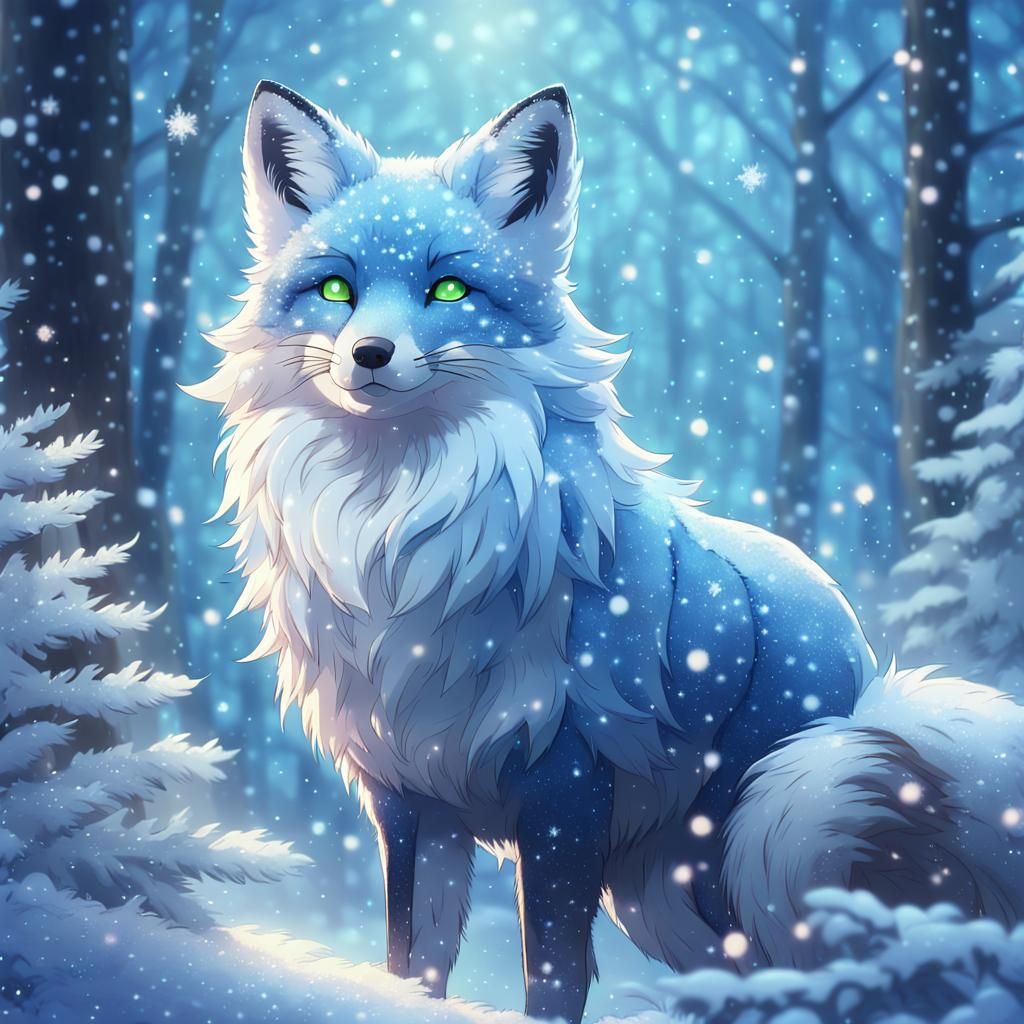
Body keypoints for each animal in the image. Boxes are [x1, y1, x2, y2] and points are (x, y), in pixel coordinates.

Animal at [188, 80, 1024, 1023]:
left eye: (448, 287)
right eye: (335, 288)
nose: (369, 354)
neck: (401, 542)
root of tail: (867, 666)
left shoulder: (566, 793)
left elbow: (550, 974)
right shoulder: (411, 798)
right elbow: (413, 960)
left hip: (754, 841)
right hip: (670, 895)